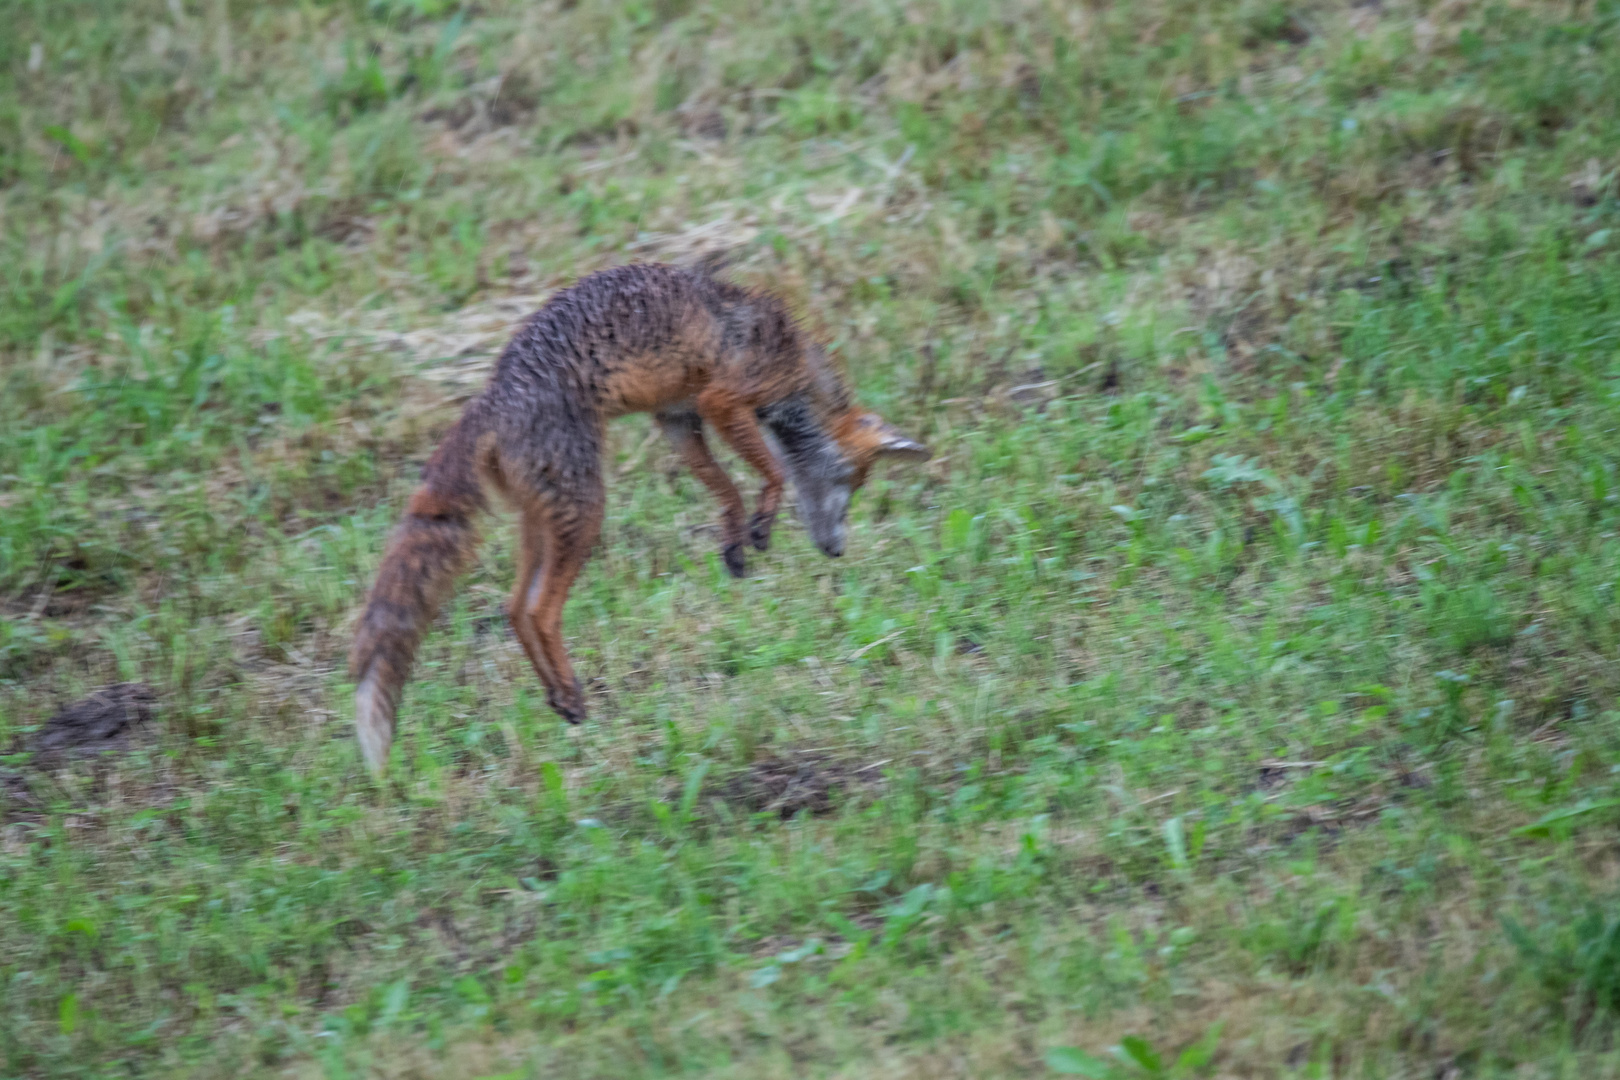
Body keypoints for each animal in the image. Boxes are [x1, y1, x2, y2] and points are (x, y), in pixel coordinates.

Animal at [351, 262, 939, 777]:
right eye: (851, 484)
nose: (837, 549)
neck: (794, 355)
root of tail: (490, 399)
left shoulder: (678, 417)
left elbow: (727, 490)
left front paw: (735, 540)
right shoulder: (723, 398)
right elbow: (770, 472)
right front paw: (761, 521)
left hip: (545, 522)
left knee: (515, 608)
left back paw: (562, 697)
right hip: (586, 514)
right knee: (540, 611)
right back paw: (569, 691)